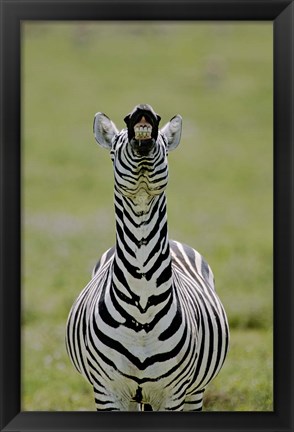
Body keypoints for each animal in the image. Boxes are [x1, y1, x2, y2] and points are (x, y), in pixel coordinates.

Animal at [66, 103, 230, 410]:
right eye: (114, 147)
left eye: (164, 146)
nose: (142, 109)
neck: (142, 305)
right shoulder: (107, 392)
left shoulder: (173, 394)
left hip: (195, 391)